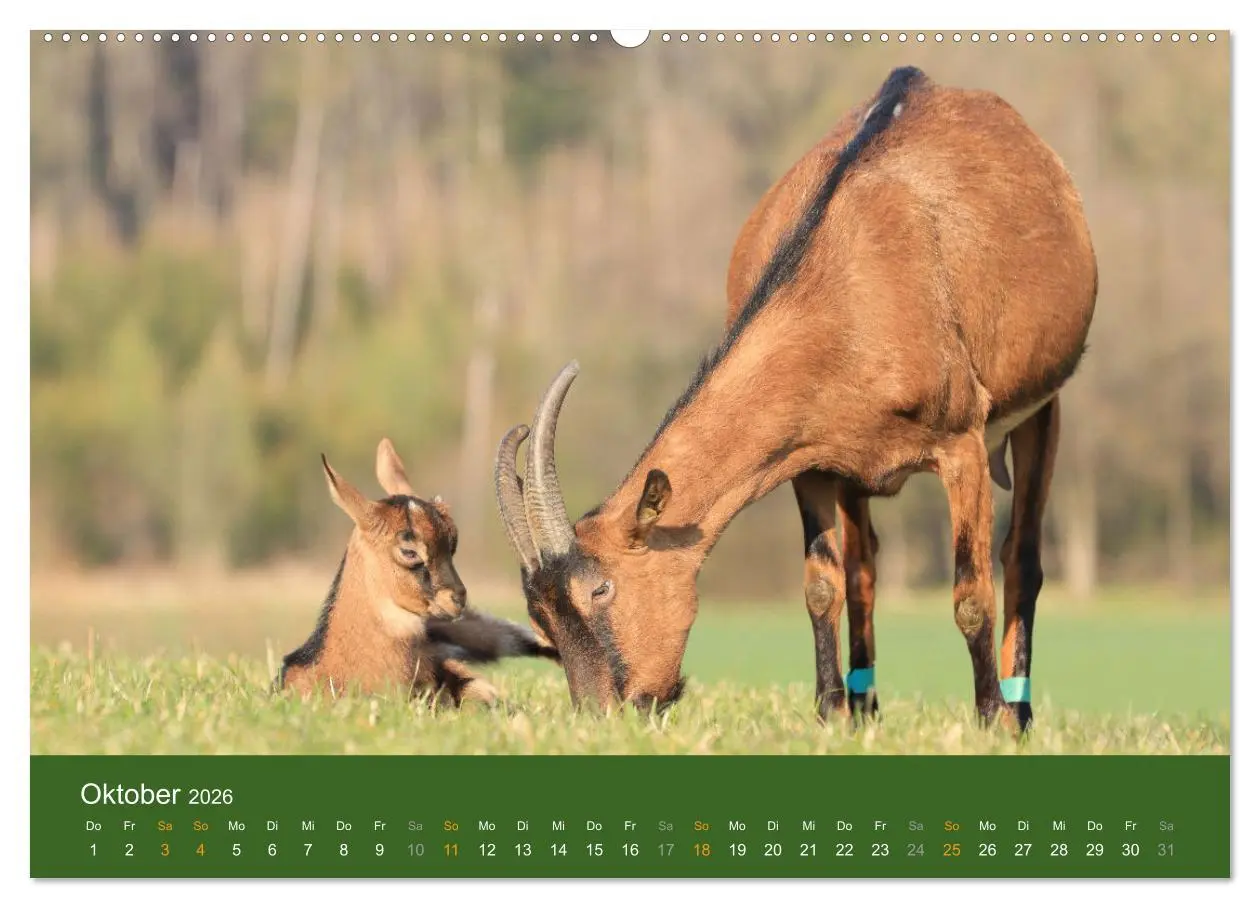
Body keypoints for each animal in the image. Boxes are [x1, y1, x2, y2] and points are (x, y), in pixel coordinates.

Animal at [494, 67, 1097, 732]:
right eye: (540, 618)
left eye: (601, 588)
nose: (604, 716)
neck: (848, 289)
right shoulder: (808, 459)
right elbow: (821, 586)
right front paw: (831, 711)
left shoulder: (960, 443)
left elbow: (971, 593)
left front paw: (990, 718)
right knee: (864, 569)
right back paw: (866, 705)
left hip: (1041, 408)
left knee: (1023, 559)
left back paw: (1020, 710)